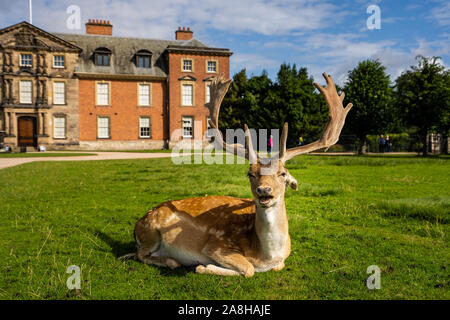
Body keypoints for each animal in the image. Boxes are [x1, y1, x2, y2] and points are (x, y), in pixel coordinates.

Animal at [121, 73, 354, 278]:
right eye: (250, 174)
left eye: (282, 174)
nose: (264, 190)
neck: (266, 255)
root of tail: (137, 224)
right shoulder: (216, 246)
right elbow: (248, 269)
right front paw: (203, 266)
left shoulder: (282, 258)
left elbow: (276, 266)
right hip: (151, 232)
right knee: (140, 254)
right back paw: (171, 261)